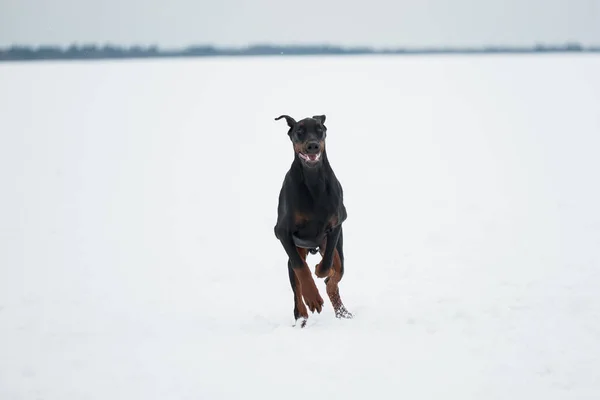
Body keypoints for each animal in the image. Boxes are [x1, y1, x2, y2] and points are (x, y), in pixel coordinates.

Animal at [274, 114, 352, 326]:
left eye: (319, 129)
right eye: (299, 131)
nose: (313, 146)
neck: (313, 180)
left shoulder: (336, 224)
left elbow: (327, 265)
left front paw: (320, 271)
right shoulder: (282, 232)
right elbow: (301, 268)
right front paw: (313, 298)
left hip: (334, 246)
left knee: (337, 269)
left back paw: (342, 311)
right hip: (295, 250)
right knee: (296, 282)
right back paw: (301, 315)